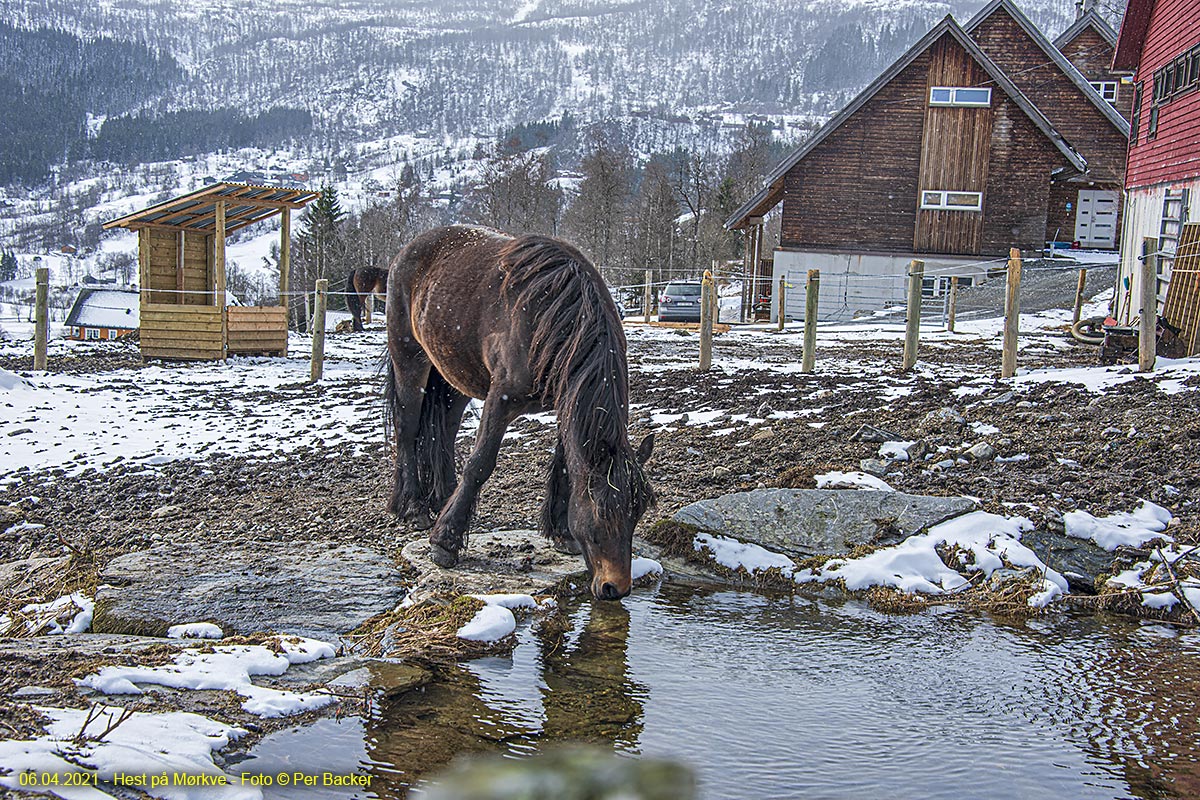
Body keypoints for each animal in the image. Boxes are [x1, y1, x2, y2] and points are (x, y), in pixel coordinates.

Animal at [386, 225, 657, 599]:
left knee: (444, 433)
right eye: (603, 512)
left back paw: (442, 501)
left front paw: (562, 534)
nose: (614, 588)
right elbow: (480, 464)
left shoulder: (564, 404)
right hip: (410, 360)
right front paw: (444, 544)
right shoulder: (500, 399)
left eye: (638, 512)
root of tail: (407, 251)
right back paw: (413, 508)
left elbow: (564, 468)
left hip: (454, 377)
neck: (553, 318)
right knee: (408, 429)